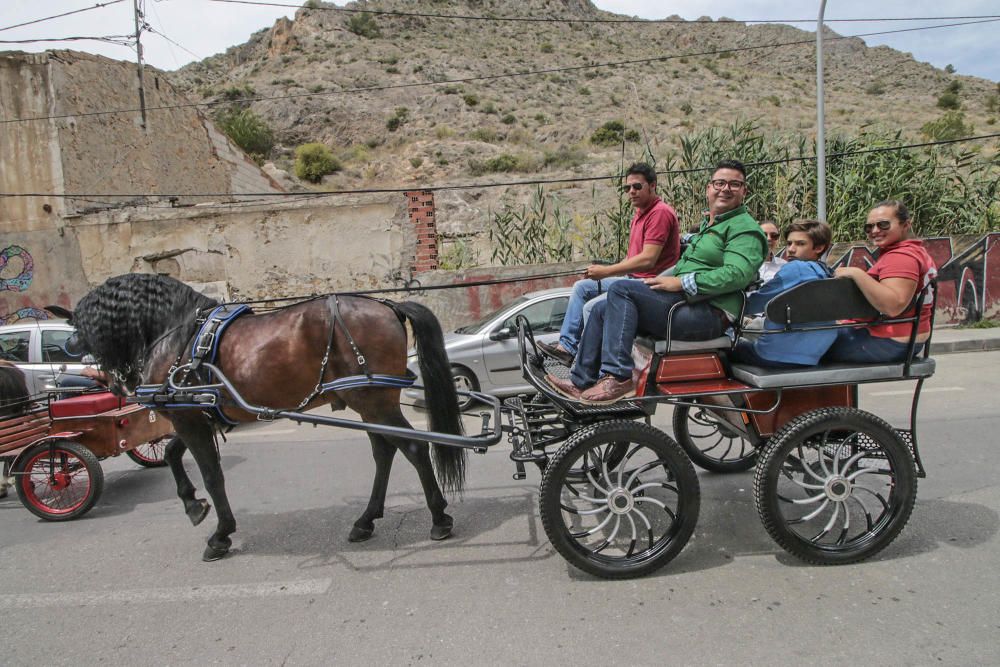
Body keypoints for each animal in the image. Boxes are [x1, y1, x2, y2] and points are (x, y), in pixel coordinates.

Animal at [60, 274, 466, 560]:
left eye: (82, 327)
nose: (110, 382)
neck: (180, 335)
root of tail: (388, 305)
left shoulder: (188, 418)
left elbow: (212, 474)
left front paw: (220, 533)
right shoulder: (194, 415)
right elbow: (175, 454)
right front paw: (193, 504)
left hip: (376, 402)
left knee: (414, 449)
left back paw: (439, 518)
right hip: (368, 403)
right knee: (385, 452)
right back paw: (366, 521)